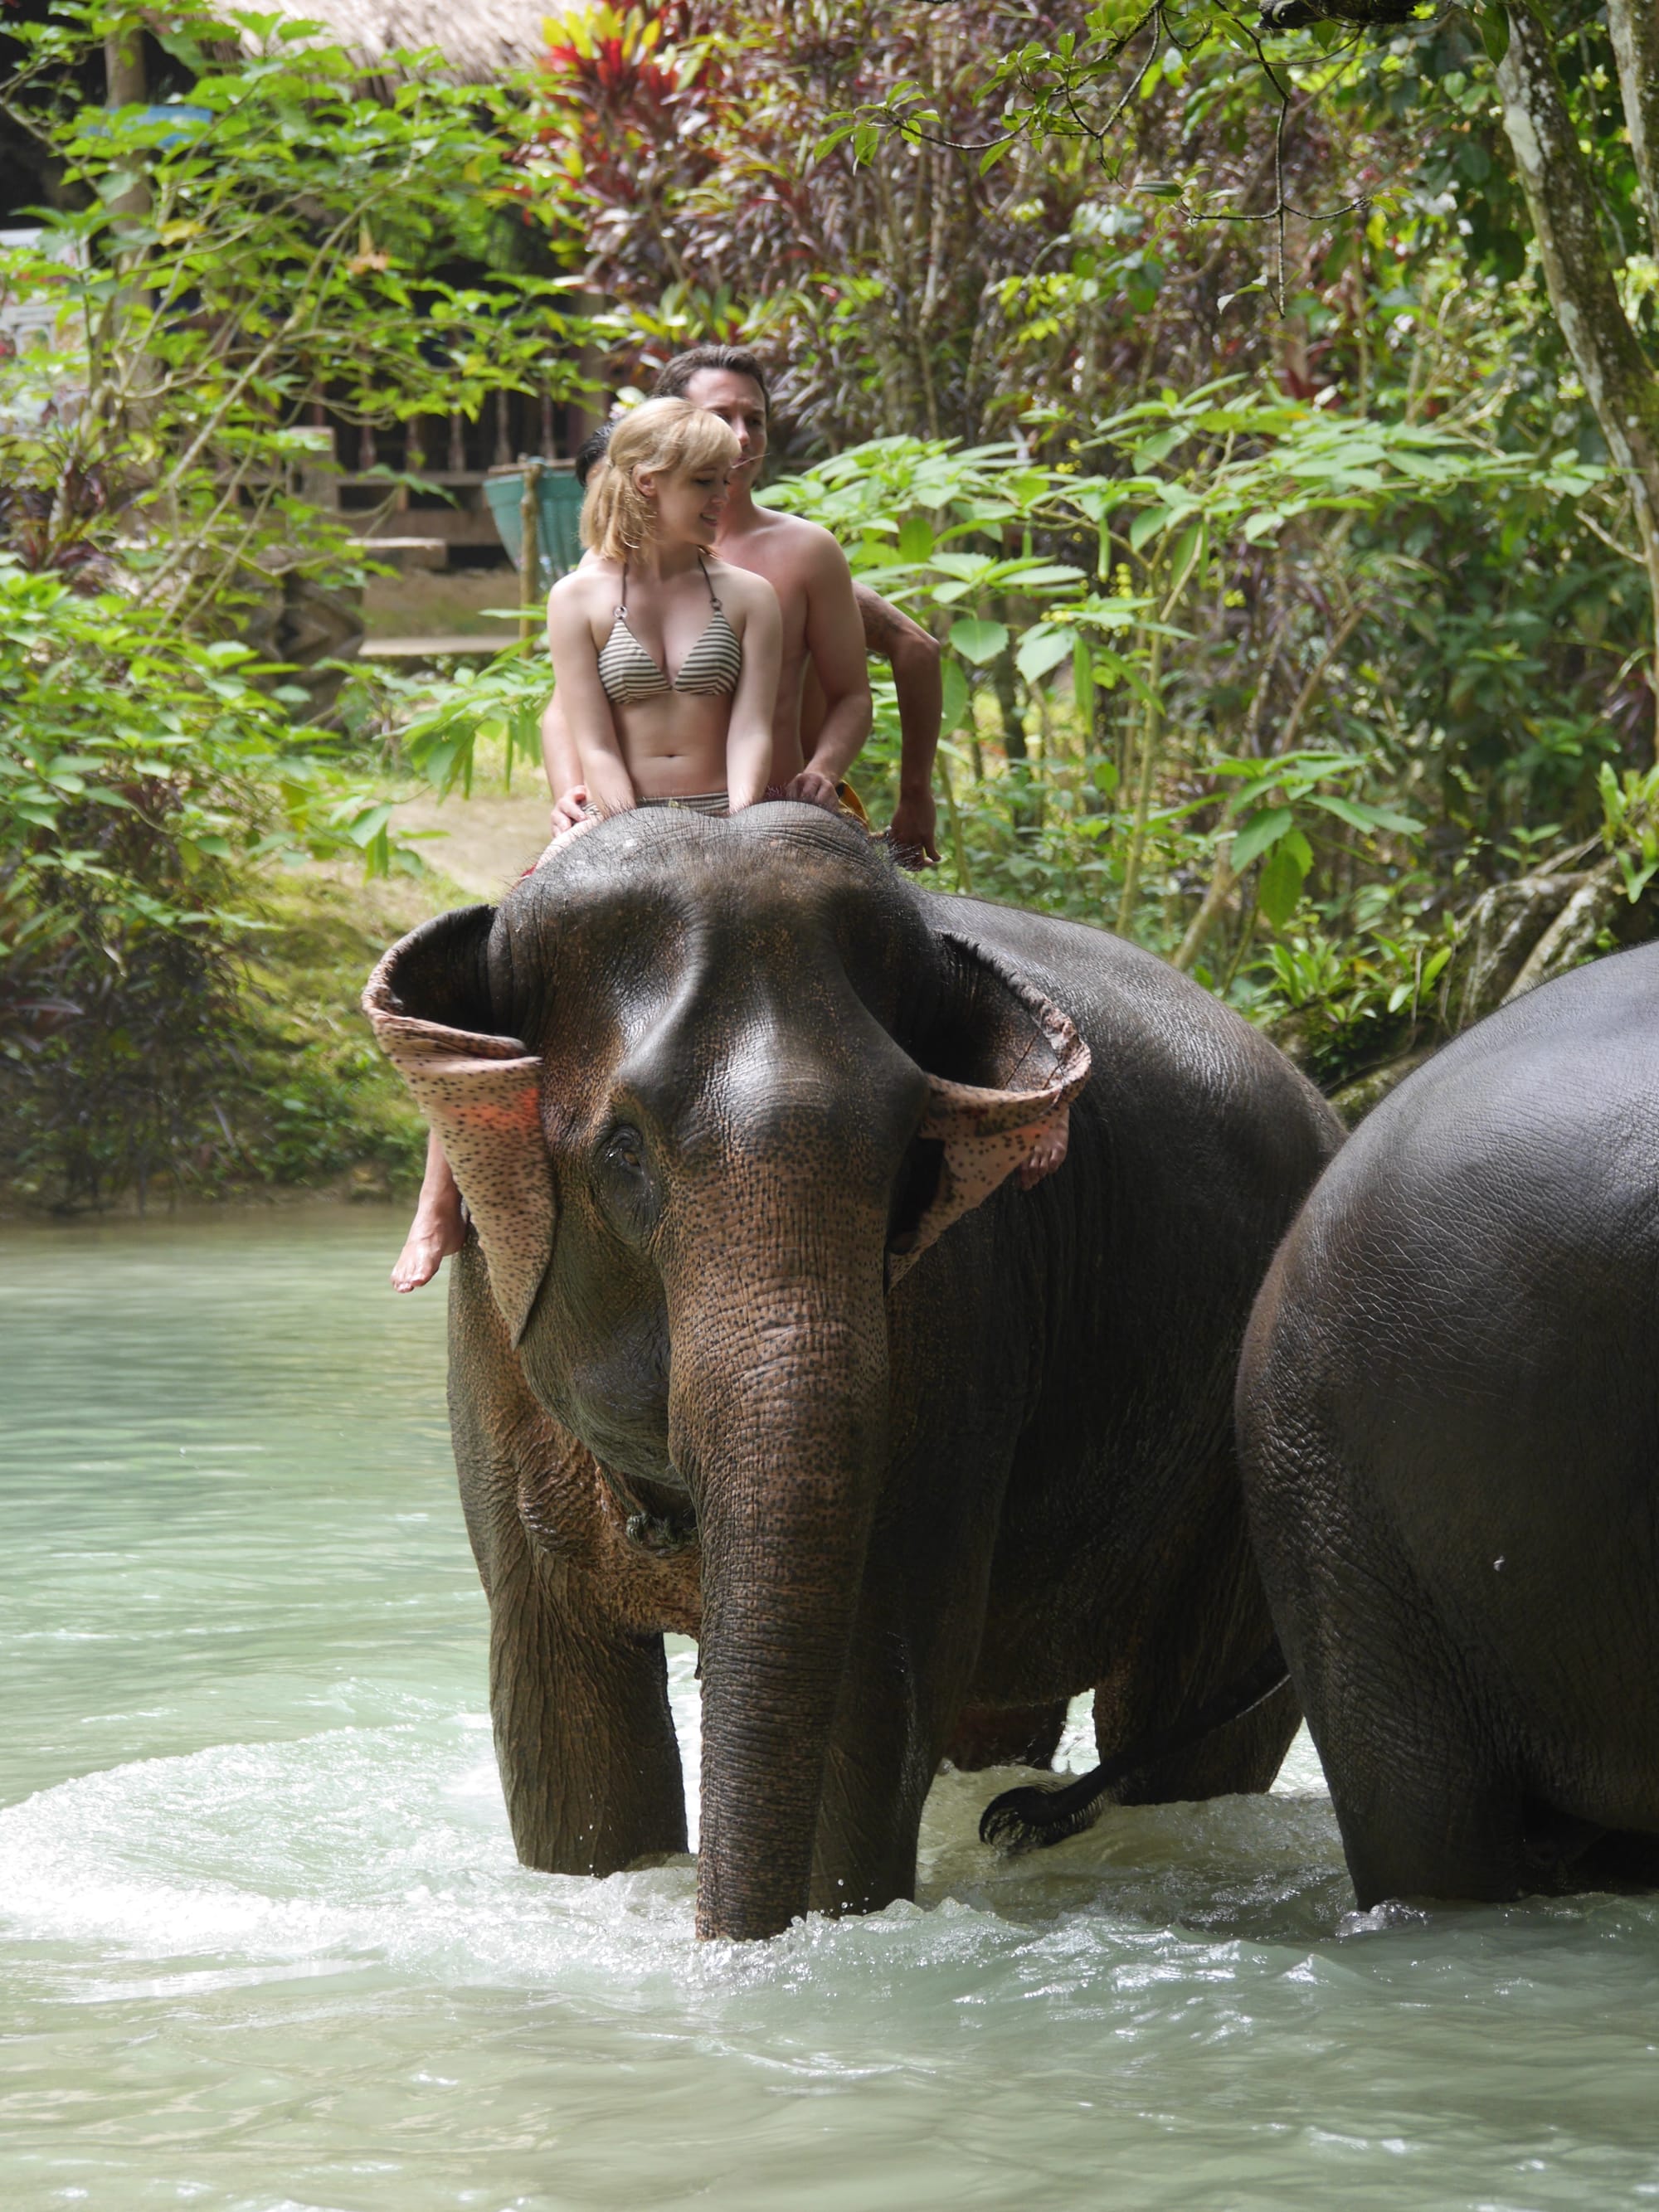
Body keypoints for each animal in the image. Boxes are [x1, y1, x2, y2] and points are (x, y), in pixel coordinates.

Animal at [362, 809, 1335, 1937]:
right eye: (622, 1153)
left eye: (908, 1156)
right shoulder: (488, 1323)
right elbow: (568, 1734)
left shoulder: (958, 1327)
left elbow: (869, 1705)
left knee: (1181, 1732)